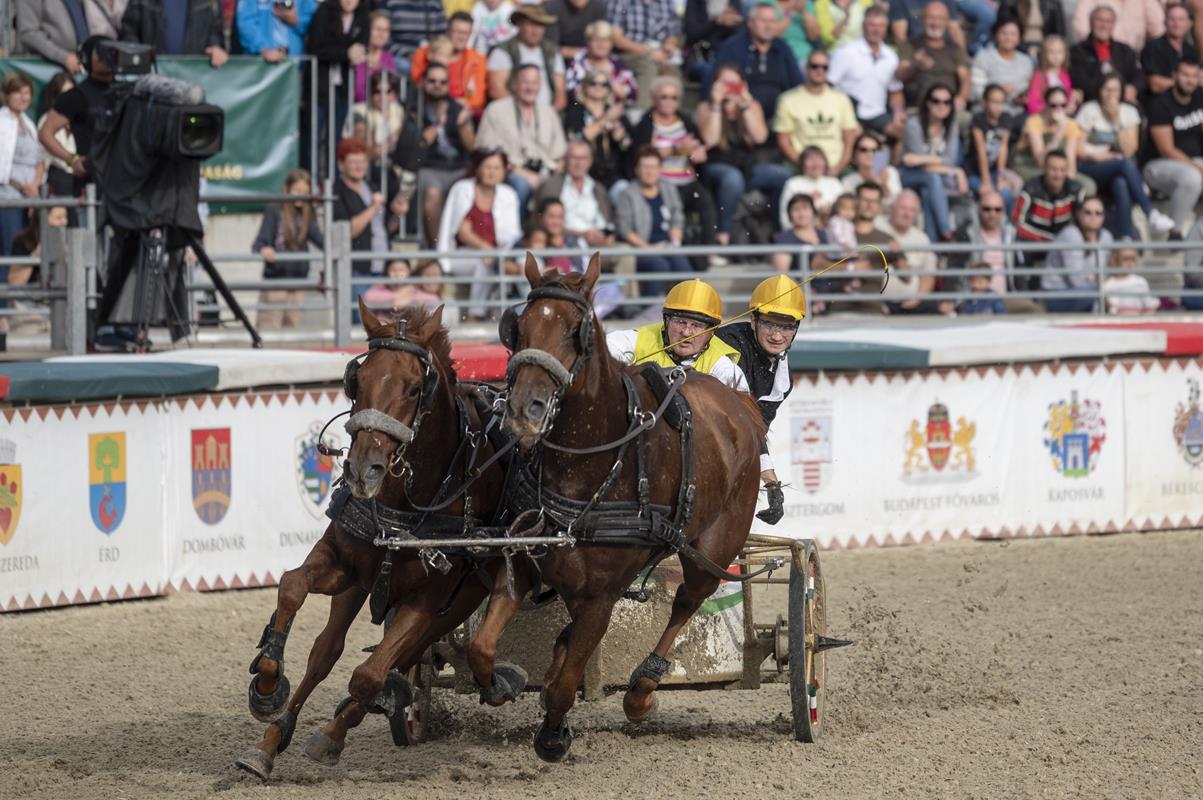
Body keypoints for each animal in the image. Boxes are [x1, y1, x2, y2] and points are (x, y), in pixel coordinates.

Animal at [236, 300, 514, 779]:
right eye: (358, 380)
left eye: (414, 388)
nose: (363, 471)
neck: (404, 502)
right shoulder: (342, 560)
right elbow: (291, 587)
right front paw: (267, 687)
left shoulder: (427, 599)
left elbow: (369, 673)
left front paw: (332, 734)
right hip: (362, 584)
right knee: (326, 652)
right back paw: (272, 741)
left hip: (460, 598)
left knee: (396, 660)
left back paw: (364, 711)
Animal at [464, 256, 765, 760]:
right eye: (518, 327)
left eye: (575, 331)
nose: (524, 410)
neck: (585, 465)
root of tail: (738, 403)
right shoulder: (523, 561)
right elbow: (484, 648)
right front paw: (503, 684)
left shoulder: (601, 598)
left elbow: (566, 685)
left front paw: (553, 735)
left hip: (715, 548)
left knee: (687, 601)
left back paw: (642, 688)